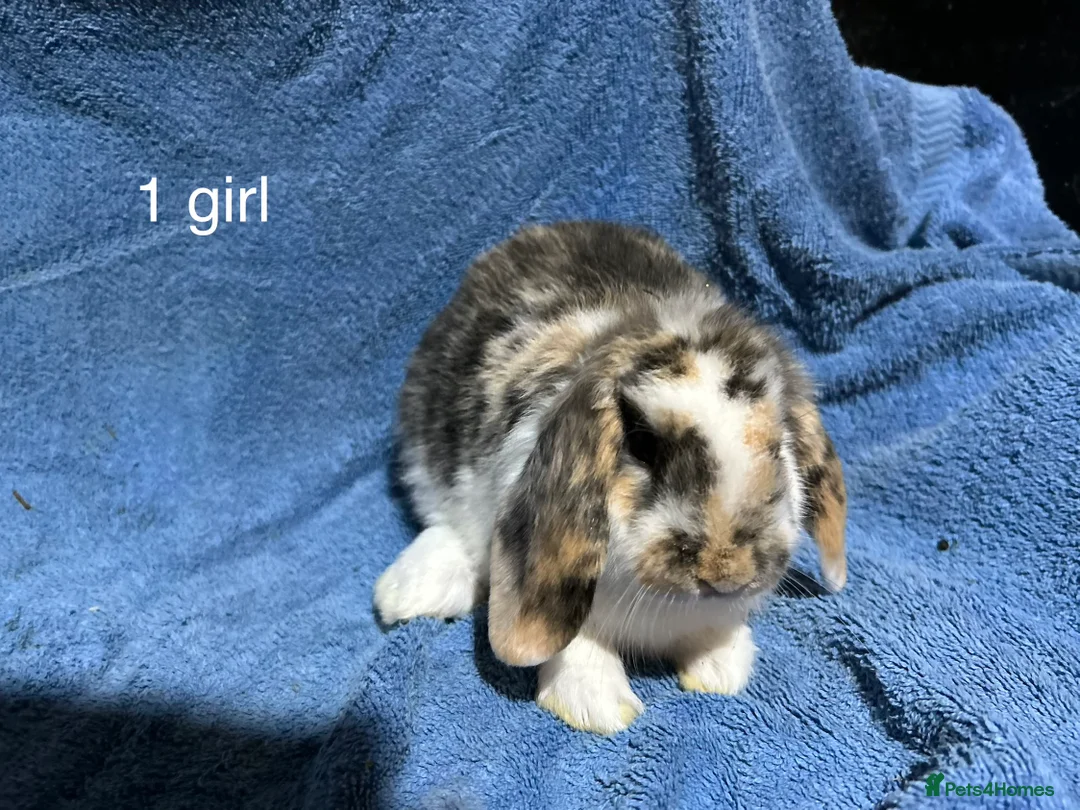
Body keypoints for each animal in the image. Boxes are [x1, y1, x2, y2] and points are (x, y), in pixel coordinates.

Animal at [374, 220, 847, 734]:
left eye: (778, 448)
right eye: (642, 445)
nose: (727, 572)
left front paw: (723, 671)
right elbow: (579, 650)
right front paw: (598, 709)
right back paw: (407, 594)